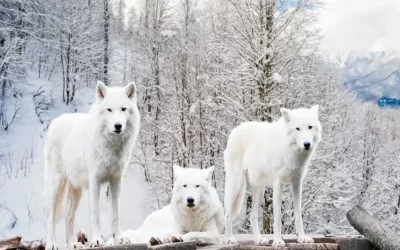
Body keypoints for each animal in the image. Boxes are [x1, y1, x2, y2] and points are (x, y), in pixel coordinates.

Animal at [43, 82, 141, 250]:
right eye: (109, 109)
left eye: (123, 109)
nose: (118, 125)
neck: (112, 146)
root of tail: (55, 121)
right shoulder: (95, 180)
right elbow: (95, 215)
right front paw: (97, 240)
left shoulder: (116, 180)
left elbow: (115, 215)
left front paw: (119, 239)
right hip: (57, 185)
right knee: (51, 217)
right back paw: (52, 244)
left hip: (77, 191)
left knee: (69, 217)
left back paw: (73, 244)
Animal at [225, 105, 322, 246]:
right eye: (297, 128)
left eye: (310, 127)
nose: (307, 144)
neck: (291, 152)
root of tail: (235, 130)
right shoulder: (278, 184)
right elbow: (277, 217)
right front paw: (278, 241)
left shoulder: (297, 184)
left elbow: (298, 215)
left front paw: (302, 238)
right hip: (237, 186)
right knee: (227, 213)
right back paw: (229, 239)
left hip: (259, 190)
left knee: (252, 216)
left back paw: (259, 239)